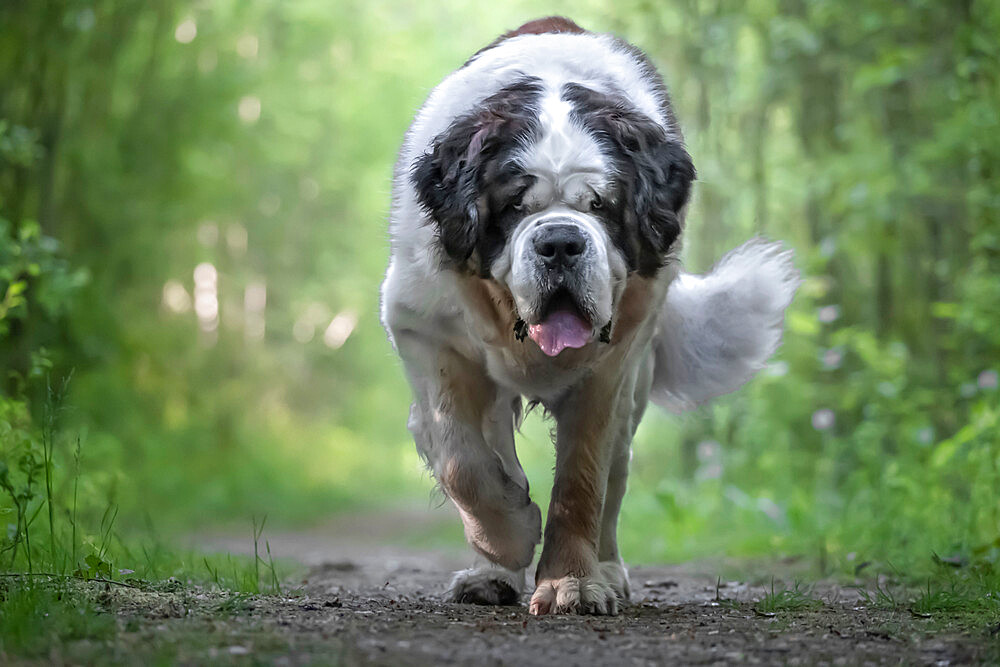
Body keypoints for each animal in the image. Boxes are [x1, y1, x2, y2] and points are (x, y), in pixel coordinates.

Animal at [378, 17, 800, 620]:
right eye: (515, 205)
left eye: (601, 205)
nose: (559, 241)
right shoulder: (423, 329)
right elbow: (462, 460)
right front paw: (510, 535)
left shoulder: (612, 365)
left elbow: (583, 480)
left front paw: (572, 584)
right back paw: (491, 575)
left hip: (634, 386)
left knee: (615, 473)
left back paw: (608, 571)